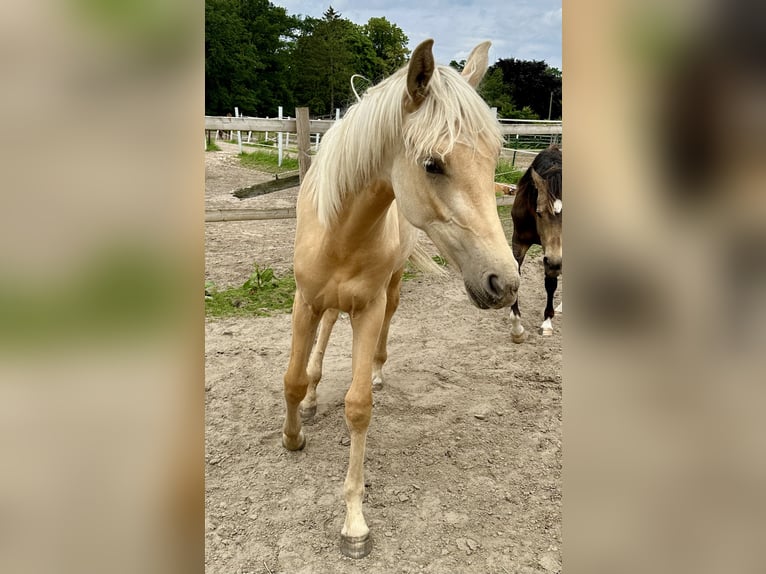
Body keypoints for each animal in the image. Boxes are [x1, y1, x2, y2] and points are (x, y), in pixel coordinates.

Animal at [282, 39, 520, 560]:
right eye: (433, 164)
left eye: (495, 157)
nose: (506, 284)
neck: (340, 230)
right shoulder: (304, 302)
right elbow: (291, 379)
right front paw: (293, 434)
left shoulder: (368, 309)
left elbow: (358, 406)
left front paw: (354, 523)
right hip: (325, 304)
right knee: (325, 333)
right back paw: (312, 399)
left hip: (389, 290)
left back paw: (375, 370)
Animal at [510, 146, 564, 342]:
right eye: (539, 212)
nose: (555, 262)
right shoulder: (518, 241)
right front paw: (517, 328)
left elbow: (551, 283)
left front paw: (547, 322)